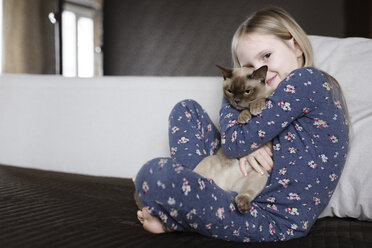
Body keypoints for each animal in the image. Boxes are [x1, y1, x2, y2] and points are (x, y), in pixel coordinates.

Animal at [192, 65, 274, 213]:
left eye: (247, 91)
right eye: (230, 91)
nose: (236, 100)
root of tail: (226, 188)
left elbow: (261, 99)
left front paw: (256, 107)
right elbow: (245, 110)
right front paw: (244, 117)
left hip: (259, 175)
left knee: (244, 194)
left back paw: (242, 206)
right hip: (208, 162)